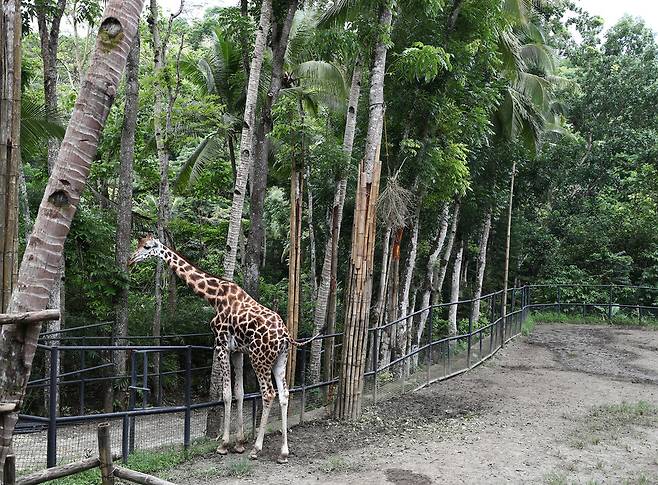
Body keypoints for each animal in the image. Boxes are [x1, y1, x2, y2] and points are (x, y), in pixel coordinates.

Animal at [127, 234, 322, 462]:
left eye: (147, 247)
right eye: (139, 244)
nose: (130, 260)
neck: (214, 296)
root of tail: (285, 335)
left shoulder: (220, 344)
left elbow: (227, 394)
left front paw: (224, 444)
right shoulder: (237, 350)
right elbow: (239, 392)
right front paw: (239, 443)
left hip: (259, 358)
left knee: (268, 394)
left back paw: (257, 449)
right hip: (280, 358)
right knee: (284, 394)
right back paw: (283, 452)